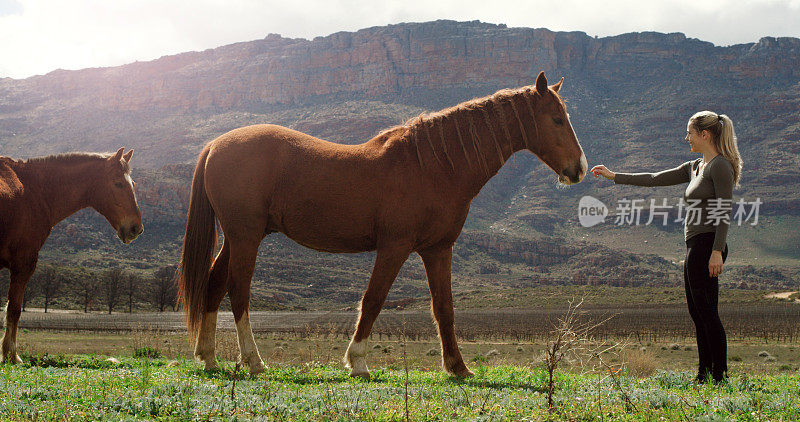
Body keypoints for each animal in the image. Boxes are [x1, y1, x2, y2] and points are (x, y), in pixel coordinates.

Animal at [0, 148, 142, 362]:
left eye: (132, 183)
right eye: (118, 183)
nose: (136, 228)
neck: (34, 189)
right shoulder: (23, 263)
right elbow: (14, 310)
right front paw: (11, 354)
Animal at [177, 71, 588, 378]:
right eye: (556, 119)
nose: (579, 169)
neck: (434, 165)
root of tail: (214, 144)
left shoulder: (438, 249)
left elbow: (444, 308)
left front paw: (457, 367)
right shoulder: (395, 246)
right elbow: (373, 299)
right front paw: (357, 361)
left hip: (238, 237)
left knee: (213, 286)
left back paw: (208, 358)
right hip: (246, 237)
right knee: (238, 292)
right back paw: (254, 361)